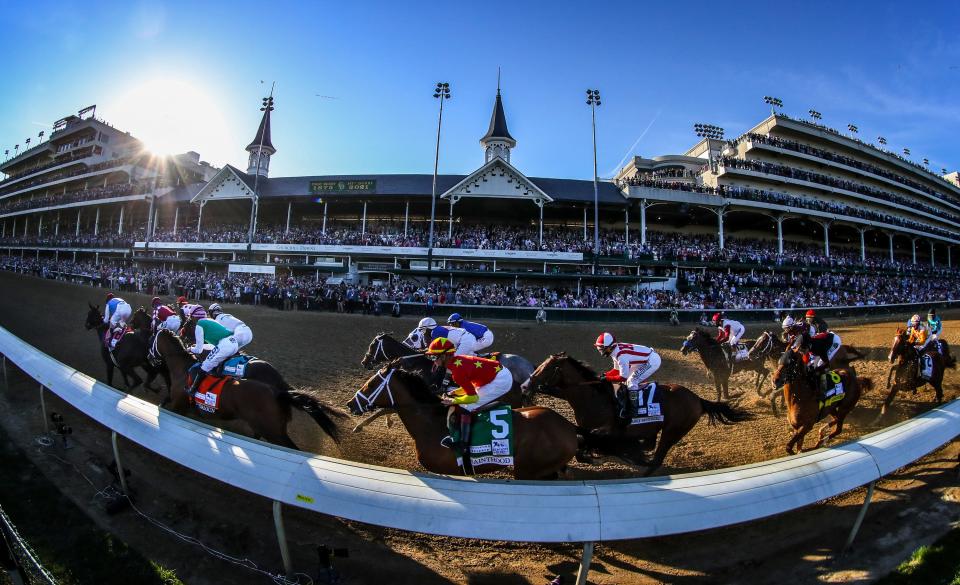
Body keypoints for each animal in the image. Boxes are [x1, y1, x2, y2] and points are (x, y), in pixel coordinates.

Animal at [158, 328, 348, 448]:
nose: (153, 357)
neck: (184, 368)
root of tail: (279, 390)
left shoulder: (179, 405)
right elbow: (165, 400)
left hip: (273, 431)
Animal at [520, 352, 752, 474]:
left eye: (547, 368)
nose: (525, 385)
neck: (592, 396)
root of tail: (697, 399)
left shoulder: (607, 431)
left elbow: (588, 443)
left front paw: (599, 457)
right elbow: (581, 446)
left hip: (673, 430)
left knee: (656, 459)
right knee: (650, 448)